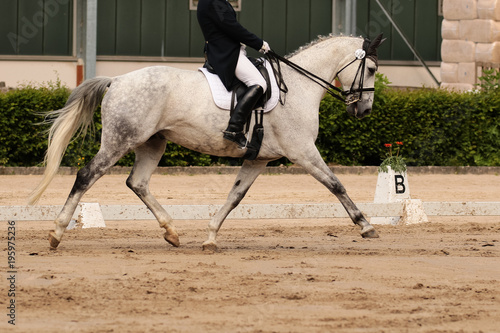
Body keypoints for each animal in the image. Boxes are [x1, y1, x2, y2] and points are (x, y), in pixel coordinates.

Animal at [29, 33, 384, 249]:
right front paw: (366, 226)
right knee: (86, 175)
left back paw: (172, 232)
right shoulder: (303, 151)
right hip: (121, 140)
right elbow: (336, 184)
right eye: (371, 68)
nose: (364, 110)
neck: (296, 86)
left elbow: (235, 197)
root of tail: (116, 79)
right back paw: (56, 233)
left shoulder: (259, 159)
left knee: (137, 183)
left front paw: (211, 236)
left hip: (153, 143)